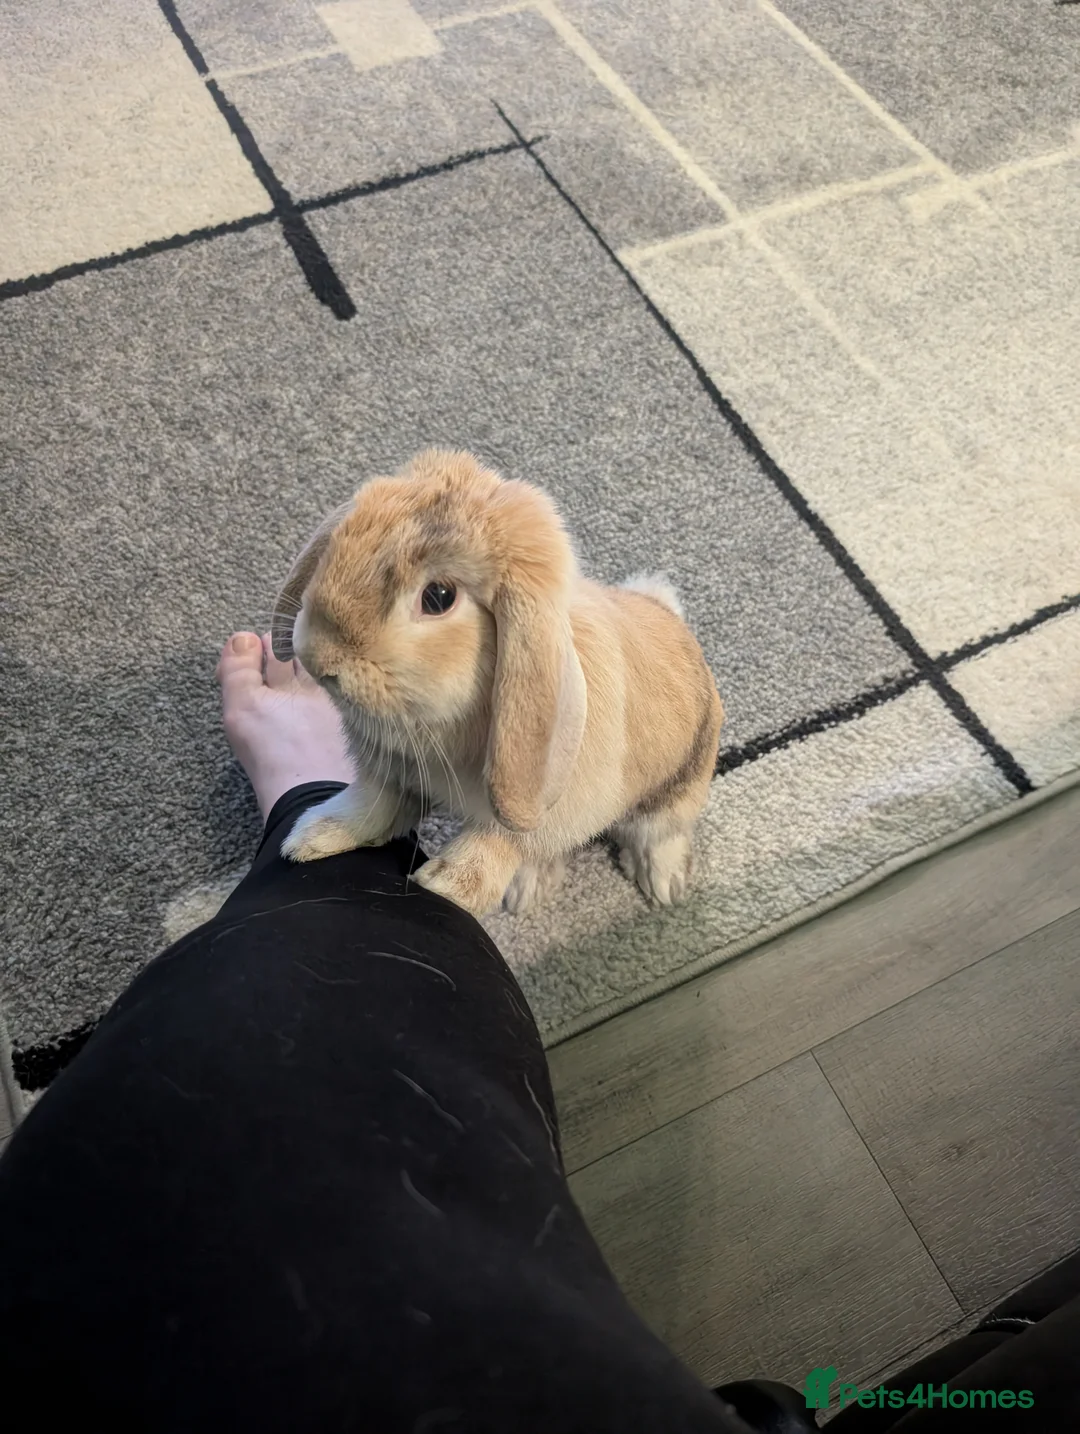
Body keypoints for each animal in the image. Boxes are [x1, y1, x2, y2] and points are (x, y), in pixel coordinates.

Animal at [270, 449, 724, 920]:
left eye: (438, 597)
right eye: (340, 542)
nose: (319, 658)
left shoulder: (543, 806)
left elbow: (503, 840)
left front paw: (446, 885)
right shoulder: (393, 772)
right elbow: (371, 806)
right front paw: (309, 837)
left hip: (676, 791)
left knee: (657, 833)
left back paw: (662, 884)